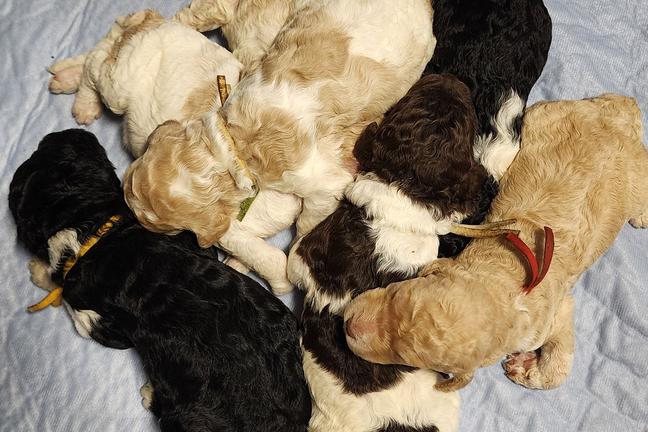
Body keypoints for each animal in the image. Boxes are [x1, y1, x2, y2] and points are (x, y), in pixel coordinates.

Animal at [9, 129, 311, 431]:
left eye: (16, 185)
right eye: (69, 152)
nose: (68, 132)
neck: (92, 229)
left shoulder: (103, 325)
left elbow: (74, 304)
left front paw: (40, 270)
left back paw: (150, 393)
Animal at [343, 94, 648, 392]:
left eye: (403, 356)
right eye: (396, 294)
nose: (347, 324)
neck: (502, 285)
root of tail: (623, 113)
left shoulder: (549, 316)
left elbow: (558, 364)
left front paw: (526, 369)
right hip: (546, 114)